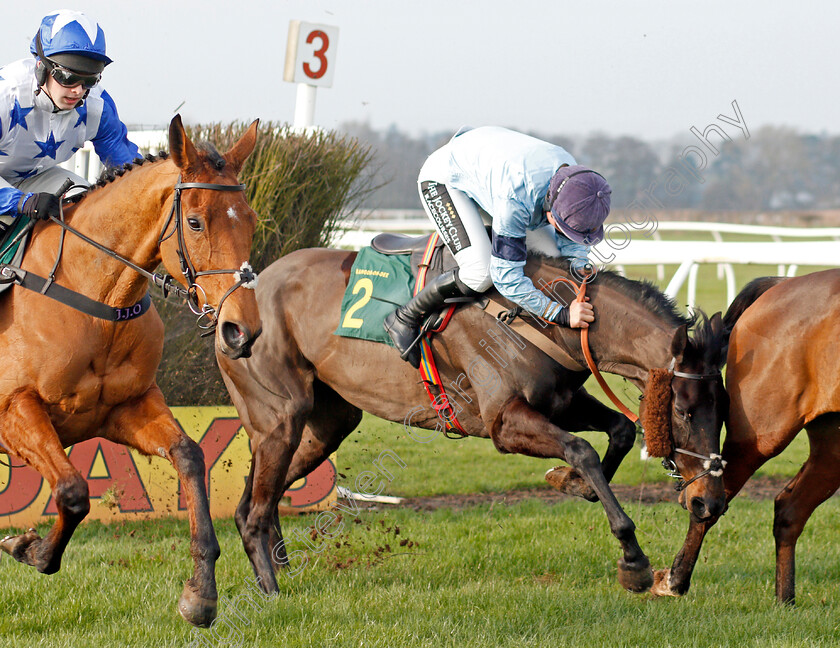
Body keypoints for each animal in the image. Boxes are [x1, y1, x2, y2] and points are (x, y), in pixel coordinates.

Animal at [0, 114, 260, 624]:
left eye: (252, 221)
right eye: (195, 222)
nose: (241, 330)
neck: (96, 301)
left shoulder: (127, 406)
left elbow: (190, 456)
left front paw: (201, 593)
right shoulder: (13, 410)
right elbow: (72, 491)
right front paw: (30, 549)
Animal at [217, 248, 728, 596]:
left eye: (722, 408)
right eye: (683, 409)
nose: (709, 502)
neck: (545, 316)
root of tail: (232, 305)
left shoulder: (561, 401)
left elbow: (619, 430)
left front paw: (572, 482)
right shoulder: (503, 421)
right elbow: (581, 449)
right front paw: (634, 560)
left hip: (326, 424)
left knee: (253, 497)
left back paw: (275, 566)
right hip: (280, 417)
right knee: (257, 507)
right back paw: (270, 591)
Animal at [656, 270, 840, 604]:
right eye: (681, 411)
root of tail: (780, 285)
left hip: (832, 440)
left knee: (790, 509)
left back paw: (785, 600)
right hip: (761, 434)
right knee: (710, 502)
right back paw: (675, 579)